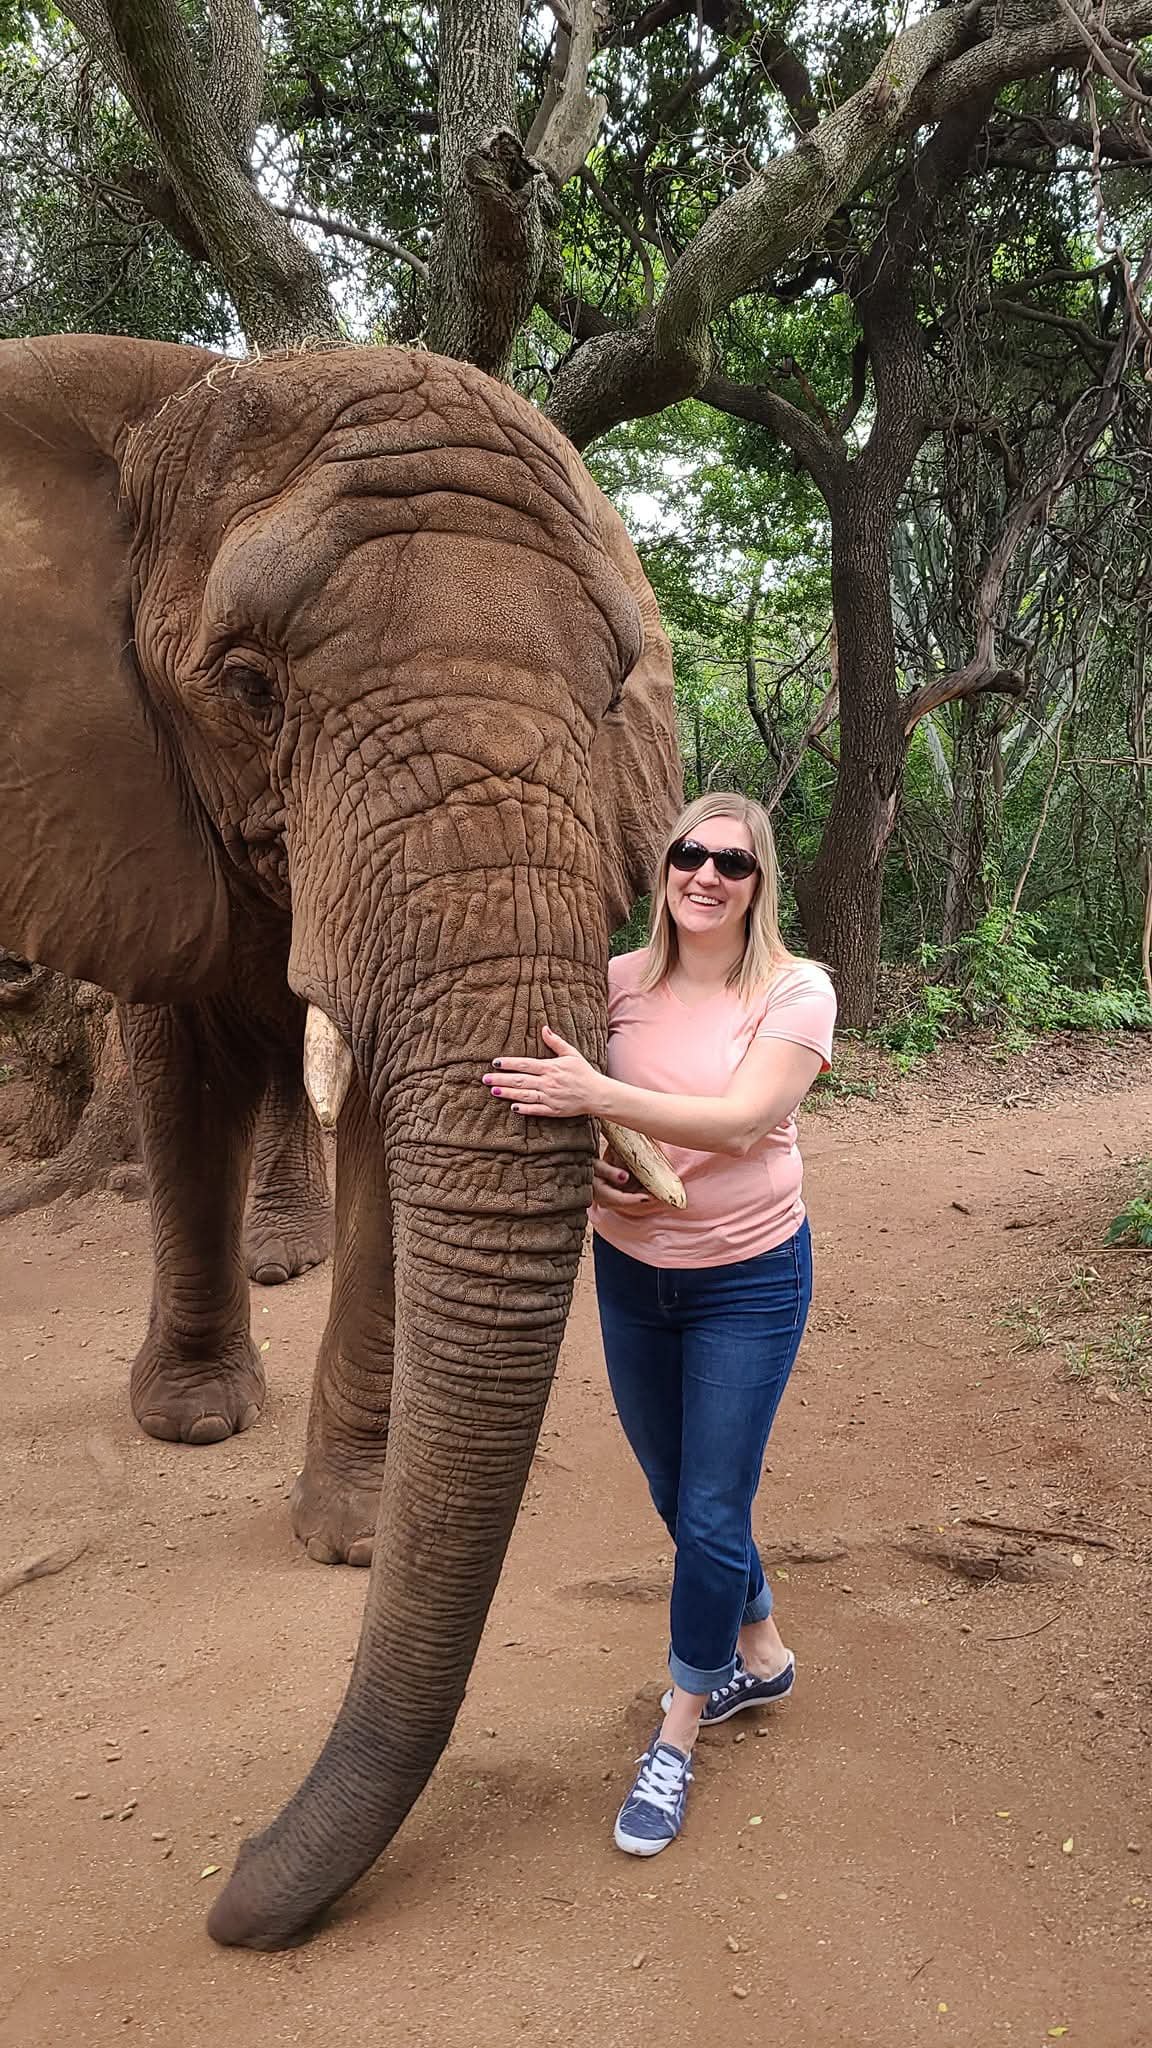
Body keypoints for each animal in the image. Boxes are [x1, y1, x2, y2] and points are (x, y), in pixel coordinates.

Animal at [0, 335, 680, 1946]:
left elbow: (376, 1107)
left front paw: (357, 1536)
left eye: (612, 692)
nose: (232, 1897)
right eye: (248, 689)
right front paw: (192, 1424)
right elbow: (183, 1052)